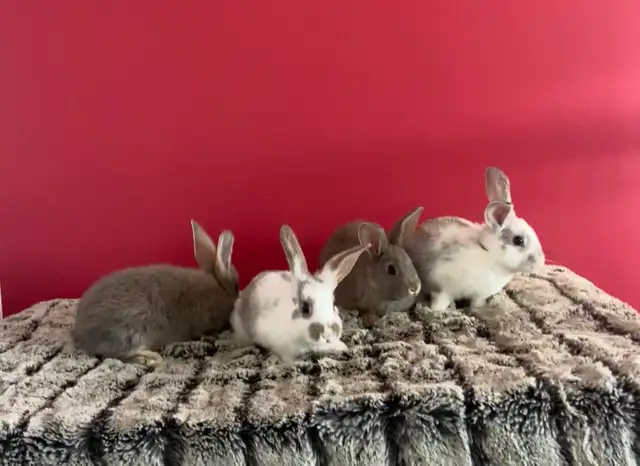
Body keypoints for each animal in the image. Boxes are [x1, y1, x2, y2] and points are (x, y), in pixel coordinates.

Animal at [71, 220, 239, 368]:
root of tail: (81, 335)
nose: (237, 296)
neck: (218, 286)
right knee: (116, 355)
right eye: (236, 285)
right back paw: (151, 360)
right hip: (131, 332)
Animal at [403, 167, 545, 311]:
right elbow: (441, 300)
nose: (540, 262)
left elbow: (477, 302)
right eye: (518, 240)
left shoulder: (479, 294)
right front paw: (436, 311)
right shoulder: (442, 288)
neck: (489, 253)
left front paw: (479, 308)